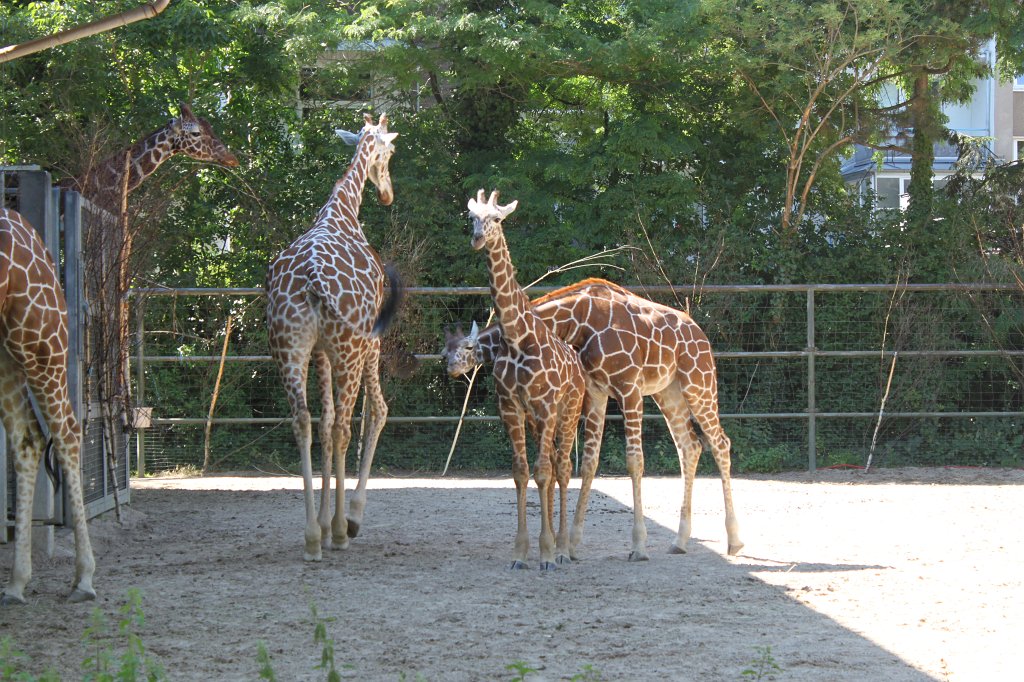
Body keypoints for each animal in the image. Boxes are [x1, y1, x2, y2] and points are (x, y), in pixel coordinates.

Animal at [266, 113, 401, 561]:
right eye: (390, 152)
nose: (387, 195)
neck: (341, 210)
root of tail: (311, 280)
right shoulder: (367, 342)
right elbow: (373, 413)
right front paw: (347, 518)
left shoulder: (320, 352)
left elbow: (323, 423)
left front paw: (324, 523)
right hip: (350, 347)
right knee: (348, 422)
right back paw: (342, 529)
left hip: (288, 348)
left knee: (304, 421)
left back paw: (313, 536)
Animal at [442, 278, 743, 560]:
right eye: (444, 352)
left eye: (468, 348)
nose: (452, 369)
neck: (580, 321)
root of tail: (701, 334)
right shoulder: (596, 391)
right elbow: (588, 463)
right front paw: (572, 544)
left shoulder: (629, 389)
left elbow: (634, 461)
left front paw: (638, 546)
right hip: (668, 392)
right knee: (690, 446)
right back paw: (680, 541)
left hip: (698, 383)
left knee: (720, 443)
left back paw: (735, 540)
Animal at [466, 190, 586, 570]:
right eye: (472, 217)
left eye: (497, 219)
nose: (477, 239)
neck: (517, 337)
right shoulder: (511, 407)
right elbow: (521, 472)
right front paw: (521, 553)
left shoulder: (546, 406)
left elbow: (544, 471)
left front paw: (547, 553)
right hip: (537, 421)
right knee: (550, 467)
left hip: (569, 412)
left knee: (562, 468)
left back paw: (562, 549)